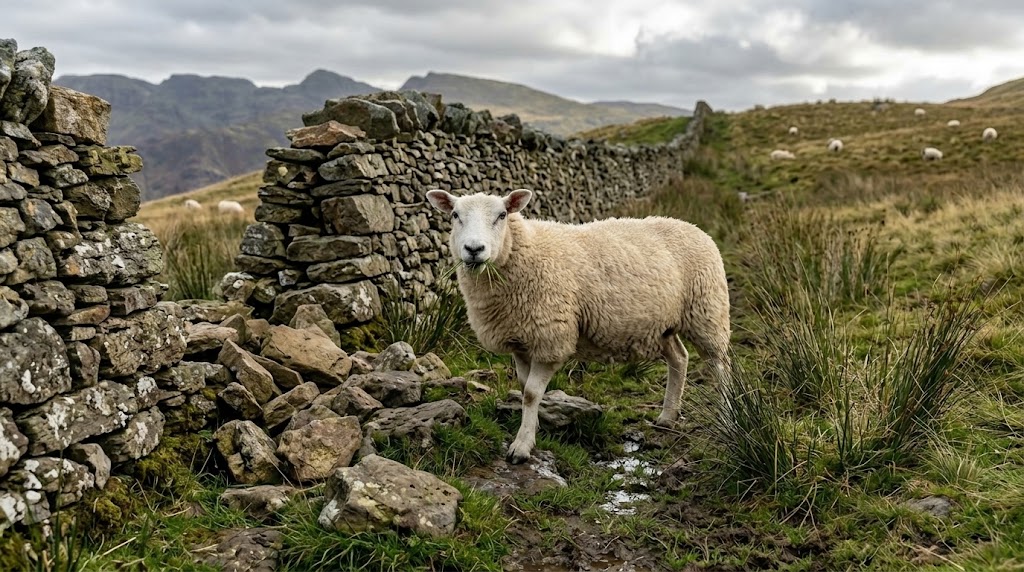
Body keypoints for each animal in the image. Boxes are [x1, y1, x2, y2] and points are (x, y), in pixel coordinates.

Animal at [426, 189, 731, 463]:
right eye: (455, 215)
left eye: (502, 215)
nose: (474, 250)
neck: (523, 251)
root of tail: (690, 225)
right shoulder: (521, 341)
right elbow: (525, 390)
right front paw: (532, 428)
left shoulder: (551, 337)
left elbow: (531, 393)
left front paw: (521, 447)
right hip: (662, 326)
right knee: (679, 358)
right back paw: (667, 417)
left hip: (707, 311)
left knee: (720, 365)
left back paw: (728, 414)